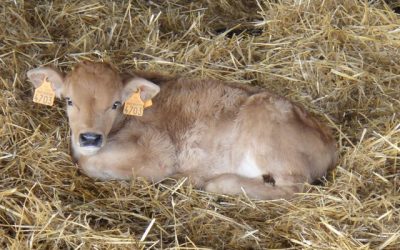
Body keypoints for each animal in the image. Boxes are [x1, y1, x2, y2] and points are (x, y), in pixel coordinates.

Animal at [26, 61, 336, 199]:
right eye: (69, 100)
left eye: (115, 103)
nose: (90, 137)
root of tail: (328, 140)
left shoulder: (158, 151)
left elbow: (88, 164)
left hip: (269, 135)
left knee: (292, 189)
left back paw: (212, 181)